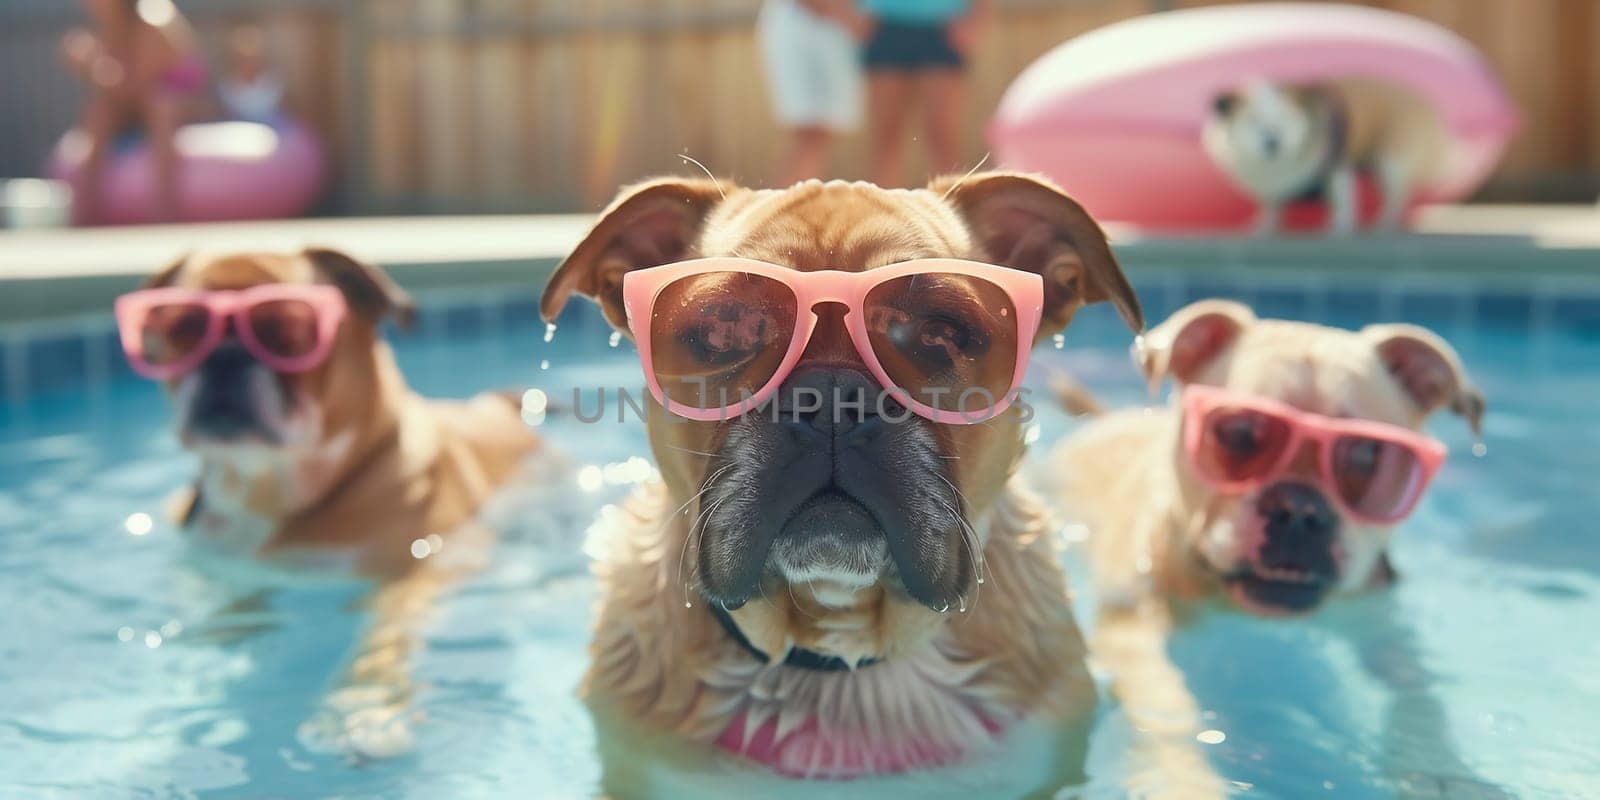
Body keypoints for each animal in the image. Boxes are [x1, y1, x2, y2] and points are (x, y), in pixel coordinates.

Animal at [120, 248, 544, 755]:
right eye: (184, 327)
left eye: (287, 330)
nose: (223, 357)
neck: (267, 489)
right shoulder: (234, 573)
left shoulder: (415, 575)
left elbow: (383, 640)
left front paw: (362, 707)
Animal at [1043, 299, 1478, 793]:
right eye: (1238, 433)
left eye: (1367, 453)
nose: (1299, 508)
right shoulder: (1133, 632)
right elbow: (1169, 709)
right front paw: (1184, 779)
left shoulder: (1386, 635)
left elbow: (1422, 703)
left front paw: (1445, 770)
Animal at [1203, 77, 1452, 233]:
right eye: (1252, 120)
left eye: (1285, 119)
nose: (1272, 141)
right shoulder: (1275, 189)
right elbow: (1273, 207)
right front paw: (1265, 227)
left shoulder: (1336, 168)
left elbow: (1344, 204)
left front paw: (1340, 227)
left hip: (1391, 161)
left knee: (1396, 197)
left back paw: (1383, 225)